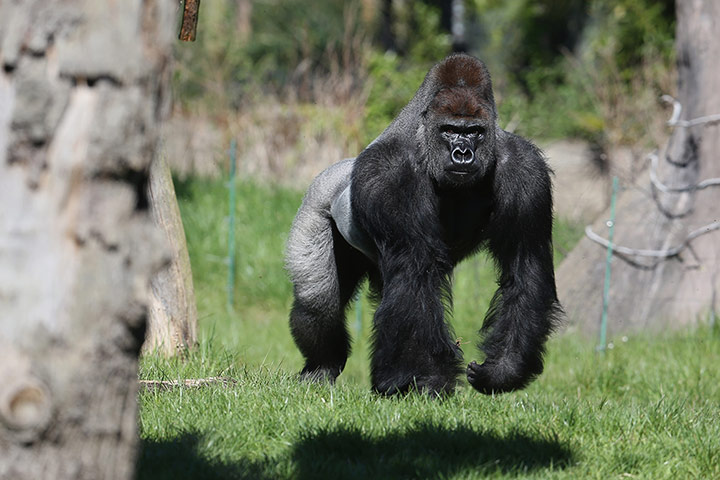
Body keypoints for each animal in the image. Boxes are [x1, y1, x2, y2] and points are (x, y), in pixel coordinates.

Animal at [284, 54, 560, 396]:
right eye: (449, 130)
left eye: (475, 132)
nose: (463, 154)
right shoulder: (388, 172)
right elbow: (415, 270)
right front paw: (422, 379)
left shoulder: (527, 171)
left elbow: (524, 266)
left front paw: (504, 368)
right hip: (317, 199)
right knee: (317, 302)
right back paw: (322, 364)